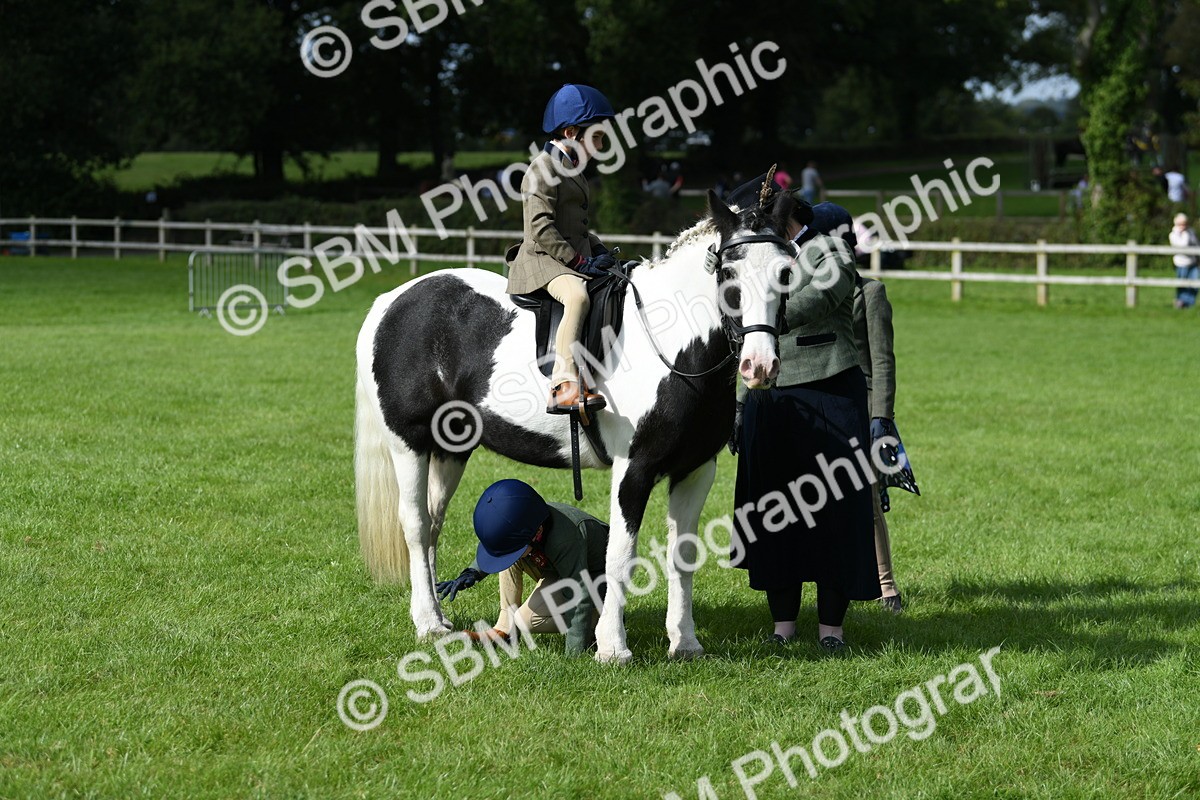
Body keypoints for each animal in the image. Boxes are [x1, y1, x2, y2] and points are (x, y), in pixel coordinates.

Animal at [354, 189, 800, 663]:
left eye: (785, 271)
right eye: (729, 272)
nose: (759, 365)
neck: (671, 347)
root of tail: (392, 302)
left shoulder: (696, 471)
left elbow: (683, 555)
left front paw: (685, 642)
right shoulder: (633, 470)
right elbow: (620, 555)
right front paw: (613, 647)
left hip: (452, 447)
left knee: (433, 523)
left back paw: (437, 615)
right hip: (410, 444)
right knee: (416, 525)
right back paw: (427, 623)